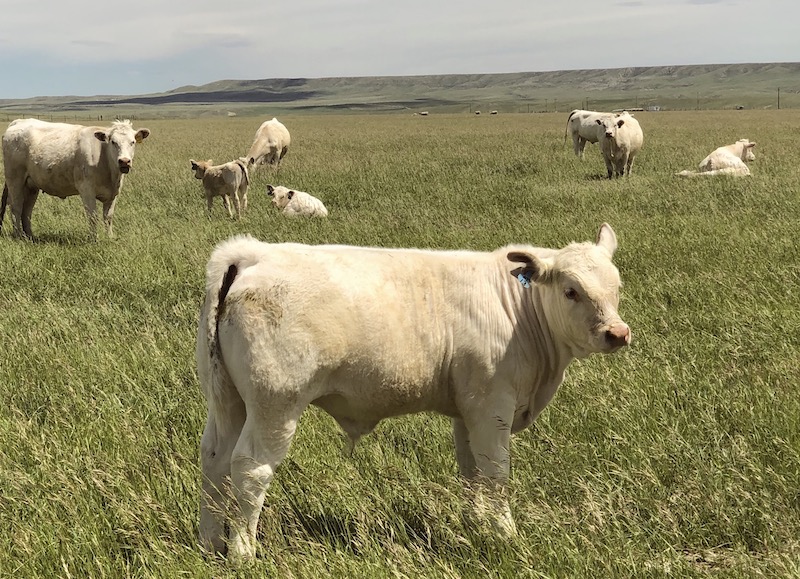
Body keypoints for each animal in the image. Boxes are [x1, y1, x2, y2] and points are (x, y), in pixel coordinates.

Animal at [1, 118, 150, 240]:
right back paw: (19, 236)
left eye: (133, 142)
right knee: (16, 207)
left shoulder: (113, 193)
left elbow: (108, 217)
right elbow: (93, 216)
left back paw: (30, 236)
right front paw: (94, 240)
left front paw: (110, 238)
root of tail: (19, 122)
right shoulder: (86, 190)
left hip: (31, 186)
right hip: (15, 180)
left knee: (27, 211)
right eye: (113, 142)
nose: (124, 161)